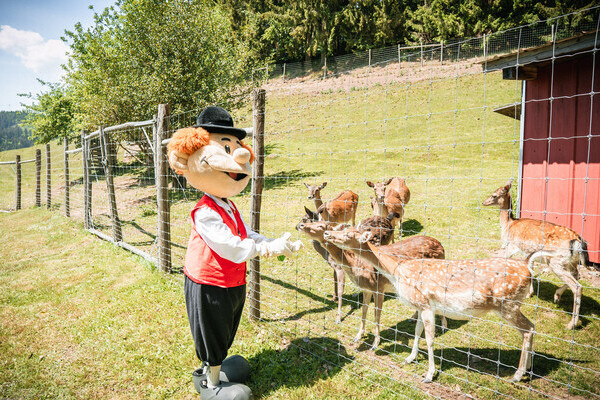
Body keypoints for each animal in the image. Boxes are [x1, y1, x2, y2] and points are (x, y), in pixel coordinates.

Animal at [324, 227, 536, 382]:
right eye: (344, 227)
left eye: (349, 233)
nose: (327, 233)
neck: (397, 271)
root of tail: (527, 266)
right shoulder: (420, 305)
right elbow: (417, 331)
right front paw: (409, 358)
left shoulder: (426, 305)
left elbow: (430, 339)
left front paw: (428, 374)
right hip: (512, 305)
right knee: (532, 327)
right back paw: (528, 369)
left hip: (507, 304)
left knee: (527, 329)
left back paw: (517, 375)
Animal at [480, 180, 588, 328]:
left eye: (494, 195)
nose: (483, 202)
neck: (509, 225)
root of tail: (577, 241)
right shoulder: (527, 252)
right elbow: (530, 268)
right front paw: (529, 293)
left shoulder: (512, 246)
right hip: (571, 262)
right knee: (578, 275)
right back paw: (557, 296)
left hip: (555, 261)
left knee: (577, 286)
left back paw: (572, 324)